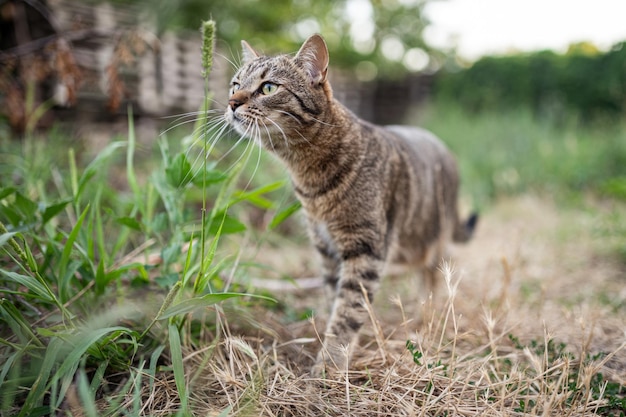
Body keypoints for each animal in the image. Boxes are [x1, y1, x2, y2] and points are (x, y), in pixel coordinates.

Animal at [223, 34, 472, 376]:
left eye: (269, 87)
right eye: (235, 84)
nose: (232, 102)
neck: (310, 176)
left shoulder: (364, 249)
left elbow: (348, 311)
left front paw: (330, 364)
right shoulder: (326, 250)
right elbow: (334, 302)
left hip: (430, 240)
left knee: (432, 277)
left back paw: (428, 317)